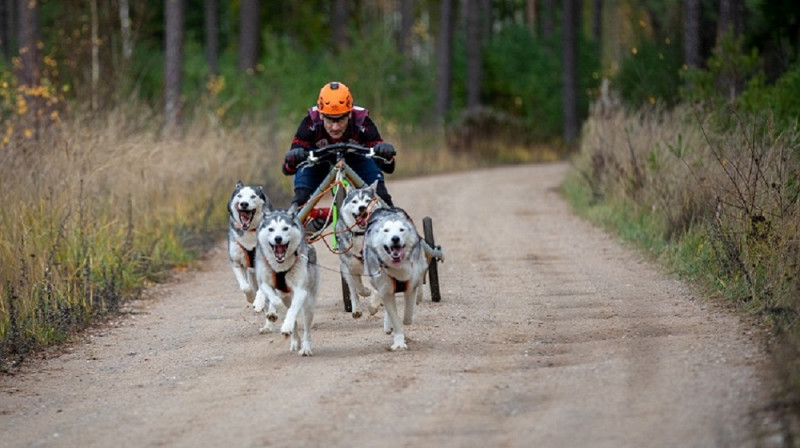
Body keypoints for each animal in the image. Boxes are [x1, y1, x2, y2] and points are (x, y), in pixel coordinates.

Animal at [255, 206, 320, 356]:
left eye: (285, 228)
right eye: (271, 229)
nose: (278, 238)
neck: (281, 267)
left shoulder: (301, 291)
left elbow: (292, 310)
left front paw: (286, 324)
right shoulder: (265, 284)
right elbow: (276, 301)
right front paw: (278, 313)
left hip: (309, 302)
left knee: (306, 328)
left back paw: (306, 347)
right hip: (287, 296)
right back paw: (294, 340)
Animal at [336, 181, 382, 318]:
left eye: (367, 201)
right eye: (355, 201)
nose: (362, 207)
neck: (361, 234)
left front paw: (373, 306)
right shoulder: (348, 266)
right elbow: (356, 287)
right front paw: (364, 294)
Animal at [362, 206, 428, 350]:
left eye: (401, 230)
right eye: (386, 230)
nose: (395, 238)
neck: (397, 268)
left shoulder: (410, 286)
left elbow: (407, 317)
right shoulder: (385, 290)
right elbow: (395, 318)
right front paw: (398, 341)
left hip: (421, 265)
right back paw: (388, 325)